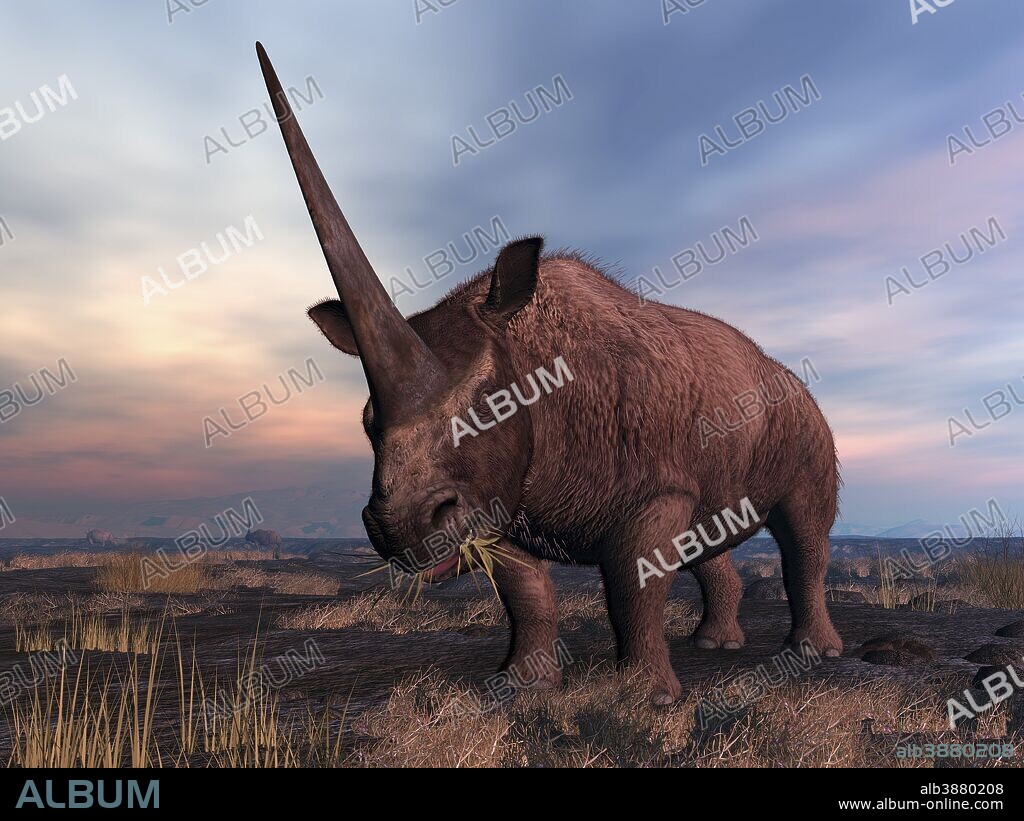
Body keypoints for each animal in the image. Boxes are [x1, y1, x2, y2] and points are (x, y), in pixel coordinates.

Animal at [256, 43, 842, 703]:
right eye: (365, 424)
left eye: (492, 409)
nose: (399, 527)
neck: (536, 364)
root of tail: (786, 375)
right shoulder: (502, 498)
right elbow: (525, 592)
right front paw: (522, 686)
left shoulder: (653, 486)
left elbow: (633, 584)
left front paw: (647, 697)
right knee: (711, 533)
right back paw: (713, 646)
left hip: (805, 419)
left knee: (803, 531)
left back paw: (812, 654)